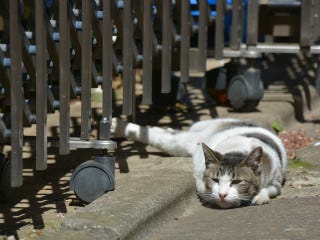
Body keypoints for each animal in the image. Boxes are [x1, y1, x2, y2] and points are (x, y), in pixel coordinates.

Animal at [111, 117, 286, 208]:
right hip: (184, 142)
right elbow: (206, 191)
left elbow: (268, 189)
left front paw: (259, 197)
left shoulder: (276, 182)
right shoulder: (201, 181)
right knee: (157, 134)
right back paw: (116, 125)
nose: (223, 194)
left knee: (164, 133)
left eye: (236, 182)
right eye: (215, 180)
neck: (237, 151)